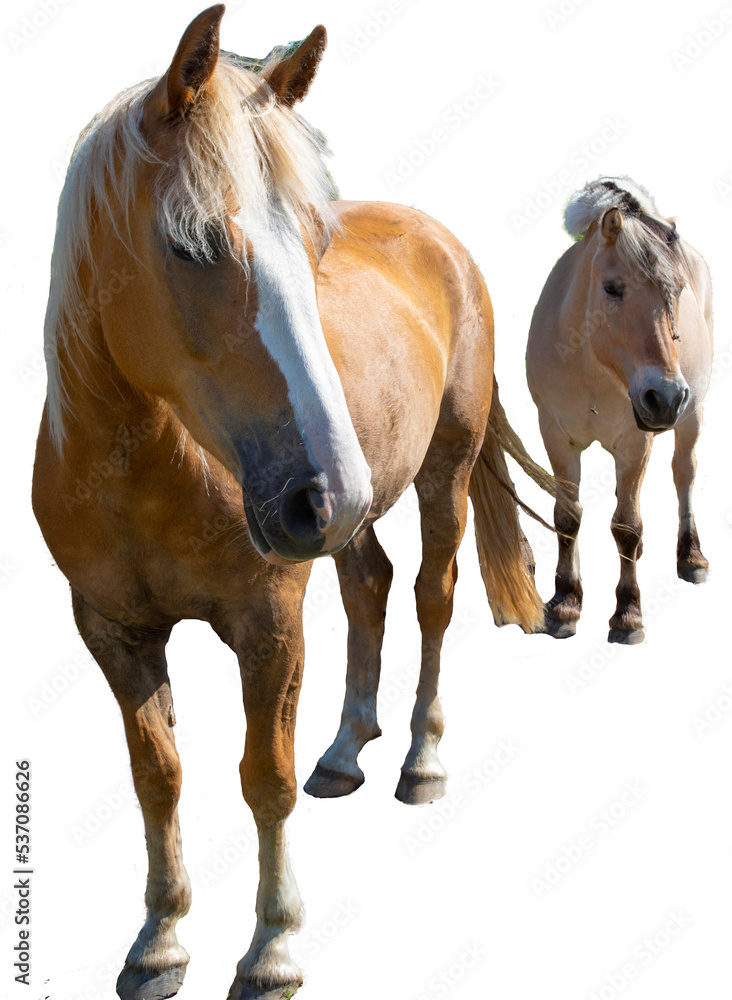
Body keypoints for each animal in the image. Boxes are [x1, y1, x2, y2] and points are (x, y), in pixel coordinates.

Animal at [32, 7, 555, 998]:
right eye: (192, 244)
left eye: (315, 246)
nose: (329, 491)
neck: (144, 474)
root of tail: (437, 235)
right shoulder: (110, 629)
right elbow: (156, 775)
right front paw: (159, 939)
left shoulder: (268, 620)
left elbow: (261, 777)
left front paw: (272, 948)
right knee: (370, 586)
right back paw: (348, 751)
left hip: (440, 472)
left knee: (431, 597)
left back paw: (420, 760)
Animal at [526, 177, 712, 645]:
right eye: (612, 288)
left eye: (675, 291)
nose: (666, 396)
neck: (592, 364)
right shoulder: (556, 436)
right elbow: (568, 517)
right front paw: (565, 604)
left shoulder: (634, 443)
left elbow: (626, 528)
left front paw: (628, 614)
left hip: (694, 414)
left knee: (684, 473)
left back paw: (691, 557)